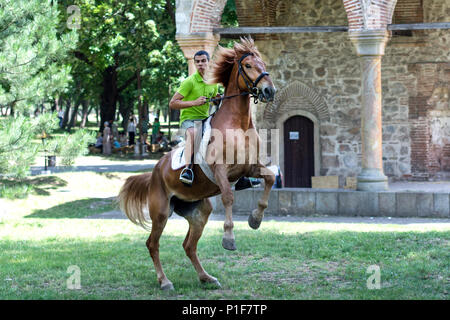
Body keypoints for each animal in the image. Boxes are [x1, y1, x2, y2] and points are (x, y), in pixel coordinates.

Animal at [118, 37, 276, 290]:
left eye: (263, 63)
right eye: (249, 65)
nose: (269, 90)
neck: (238, 124)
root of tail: (154, 171)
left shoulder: (250, 167)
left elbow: (270, 178)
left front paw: (255, 219)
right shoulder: (221, 170)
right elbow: (228, 197)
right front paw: (229, 238)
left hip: (199, 211)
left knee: (188, 246)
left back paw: (206, 277)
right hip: (161, 212)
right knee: (152, 244)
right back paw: (165, 281)